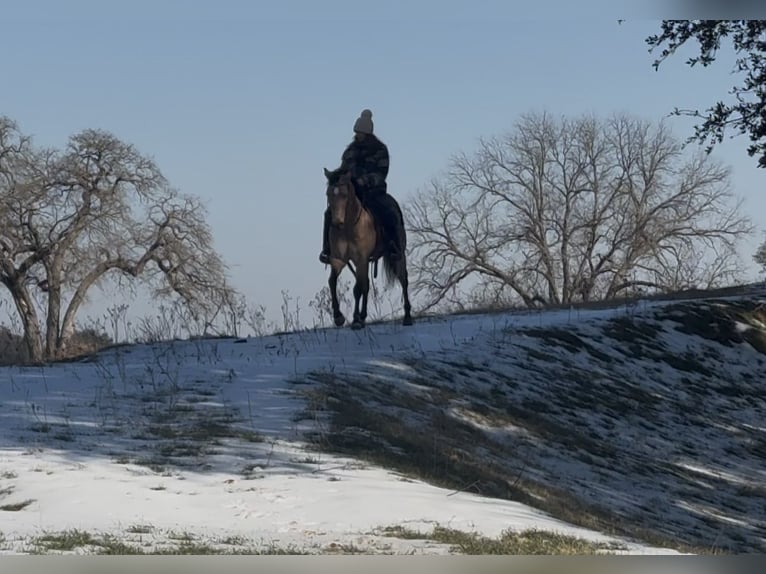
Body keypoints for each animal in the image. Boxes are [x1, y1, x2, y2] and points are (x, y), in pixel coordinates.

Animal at [323, 167, 413, 329]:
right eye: (328, 194)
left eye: (344, 195)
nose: (337, 222)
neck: (348, 228)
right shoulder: (338, 260)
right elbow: (333, 282)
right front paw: (339, 317)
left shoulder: (361, 259)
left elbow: (357, 289)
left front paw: (355, 320)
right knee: (366, 285)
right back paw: (363, 316)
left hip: (399, 255)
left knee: (403, 279)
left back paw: (407, 317)